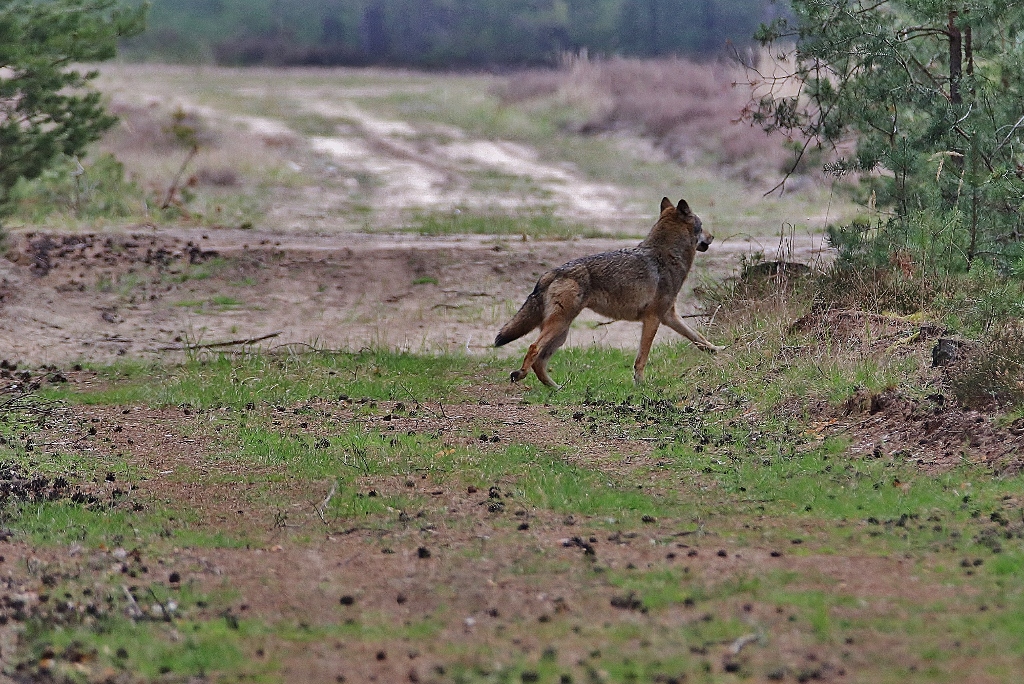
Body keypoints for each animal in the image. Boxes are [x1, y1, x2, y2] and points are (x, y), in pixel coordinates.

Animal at [493, 198, 720, 389]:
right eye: (702, 225)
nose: (712, 236)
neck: (667, 256)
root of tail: (552, 272)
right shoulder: (653, 319)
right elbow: (642, 357)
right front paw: (641, 383)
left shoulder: (669, 316)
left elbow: (698, 338)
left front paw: (718, 350)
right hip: (559, 326)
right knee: (533, 348)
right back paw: (522, 375)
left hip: (561, 332)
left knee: (539, 362)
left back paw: (557, 388)